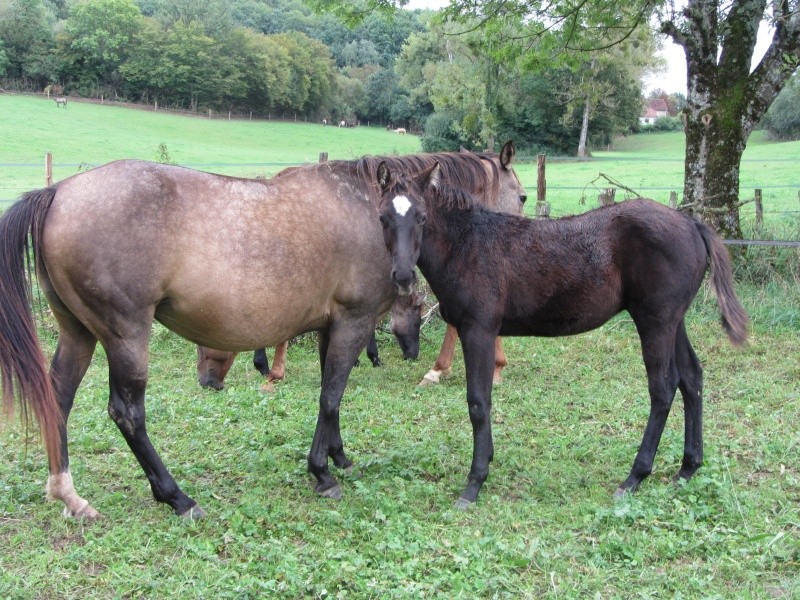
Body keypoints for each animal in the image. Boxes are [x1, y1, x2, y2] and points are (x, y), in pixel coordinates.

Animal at [0, 161, 438, 520]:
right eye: (386, 217)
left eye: (421, 217)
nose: (404, 276)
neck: (361, 209)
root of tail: (59, 192)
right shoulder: (353, 321)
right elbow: (330, 396)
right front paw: (322, 473)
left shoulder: (331, 327)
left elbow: (332, 396)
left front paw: (338, 457)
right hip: (125, 335)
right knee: (127, 413)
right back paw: (177, 498)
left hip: (78, 332)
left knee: (58, 399)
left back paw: (69, 496)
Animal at [378, 166, 748, 508]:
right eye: (383, 217)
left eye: (421, 217)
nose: (403, 276)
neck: (468, 244)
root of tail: (691, 225)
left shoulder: (478, 330)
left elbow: (479, 403)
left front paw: (474, 483)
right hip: (674, 321)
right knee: (691, 378)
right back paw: (688, 468)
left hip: (655, 321)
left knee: (663, 388)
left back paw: (634, 476)